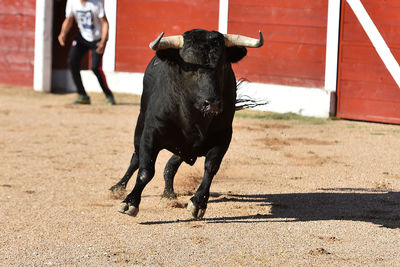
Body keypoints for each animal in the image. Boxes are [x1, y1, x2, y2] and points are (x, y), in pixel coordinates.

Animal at [111, 29, 264, 219]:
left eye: (223, 65)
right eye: (189, 67)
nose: (212, 103)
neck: (194, 116)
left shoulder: (224, 136)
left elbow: (211, 167)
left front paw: (198, 203)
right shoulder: (150, 133)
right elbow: (146, 170)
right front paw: (130, 202)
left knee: (170, 166)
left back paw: (169, 195)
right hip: (140, 125)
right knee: (136, 159)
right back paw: (117, 188)